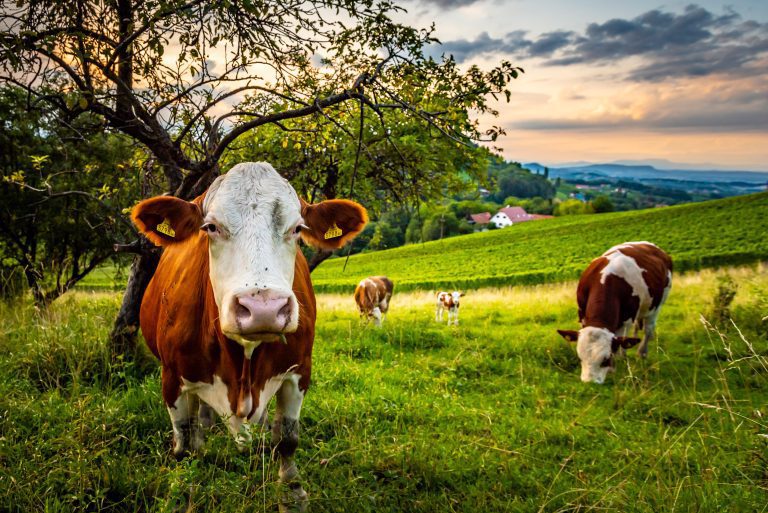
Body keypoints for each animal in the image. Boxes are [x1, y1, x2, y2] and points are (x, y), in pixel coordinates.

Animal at [130, 162, 368, 510]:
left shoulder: (299, 371)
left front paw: (292, 493)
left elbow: (287, 439)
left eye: (297, 229)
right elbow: (184, 443)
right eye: (211, 227)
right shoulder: (172, 377)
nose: (263, 308)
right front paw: (183, 492)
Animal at [560, 242, 672, 382]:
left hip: (659, 302)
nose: (589, 382)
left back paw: (642, 352)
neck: (607, 278)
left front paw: (615, 366)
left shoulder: (627, 319)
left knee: (648, 329)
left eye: (606, 360)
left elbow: (620, 344)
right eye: (580, 358)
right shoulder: (582, 315)